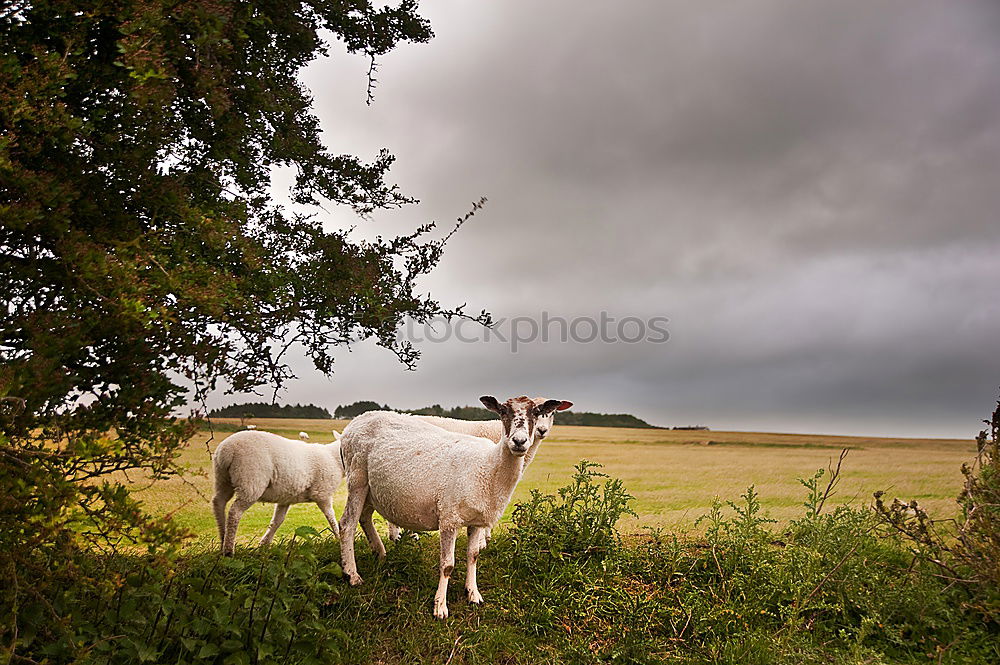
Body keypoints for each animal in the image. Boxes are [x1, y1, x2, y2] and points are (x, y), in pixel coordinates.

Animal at [211, 428, 344, 552]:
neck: (335, 459)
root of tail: (226, 450)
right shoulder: (322, 493)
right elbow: (331, 516)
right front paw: (338, 537)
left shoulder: (286, 499)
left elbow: (277, 521)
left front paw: (264, 544)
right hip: (250, 480)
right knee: (235, 512)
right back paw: (228, 549)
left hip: (223, 478)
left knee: (218, 502)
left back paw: (223, 538)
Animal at [340, 394, 568, 616]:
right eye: (503, 411)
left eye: (537, 412)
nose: (519, 441)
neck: (488, 468)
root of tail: (356, 421)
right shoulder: (449, 518)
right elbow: (447, 565)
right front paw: (440, 606)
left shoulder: (477, 521)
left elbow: (473, 555)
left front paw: (473, 593)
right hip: (357, 478)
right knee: (347, 524)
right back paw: (352, 575)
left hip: (372, 489)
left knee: (364, 517)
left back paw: (380, 554)